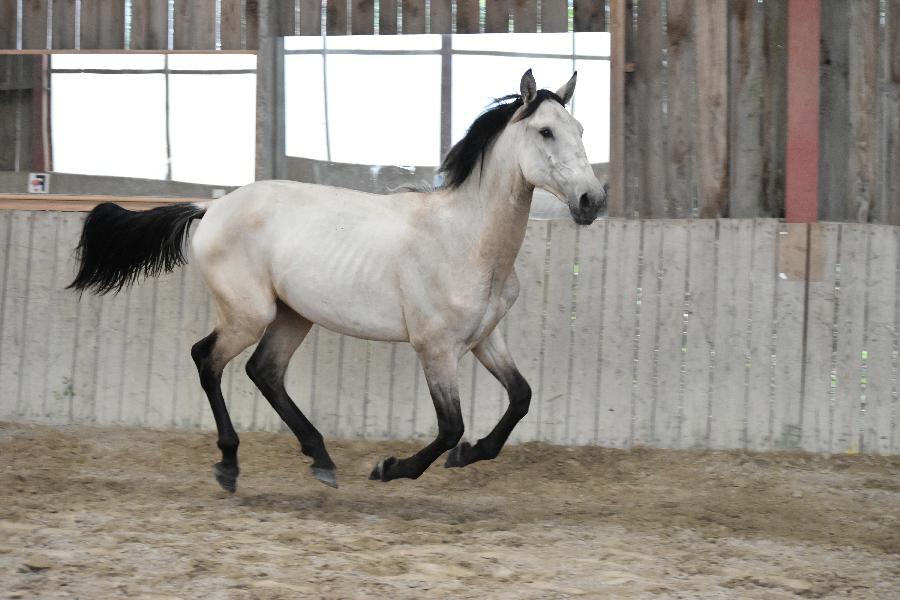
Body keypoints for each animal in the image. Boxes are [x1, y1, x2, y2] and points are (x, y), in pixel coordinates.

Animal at [68, 70, 604, 492]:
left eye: (579, 128)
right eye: (546, 131)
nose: (592, 200)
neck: (464, 238)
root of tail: (210, 208)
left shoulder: (483, 338)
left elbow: (520, 398)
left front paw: (469, 454)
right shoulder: (436, 347)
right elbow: (451, 425)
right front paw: (390, 468)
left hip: (293, 315)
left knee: (264, 371)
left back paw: (320, 459)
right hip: (249, 313)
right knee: (208, 360)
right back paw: (230, 465)